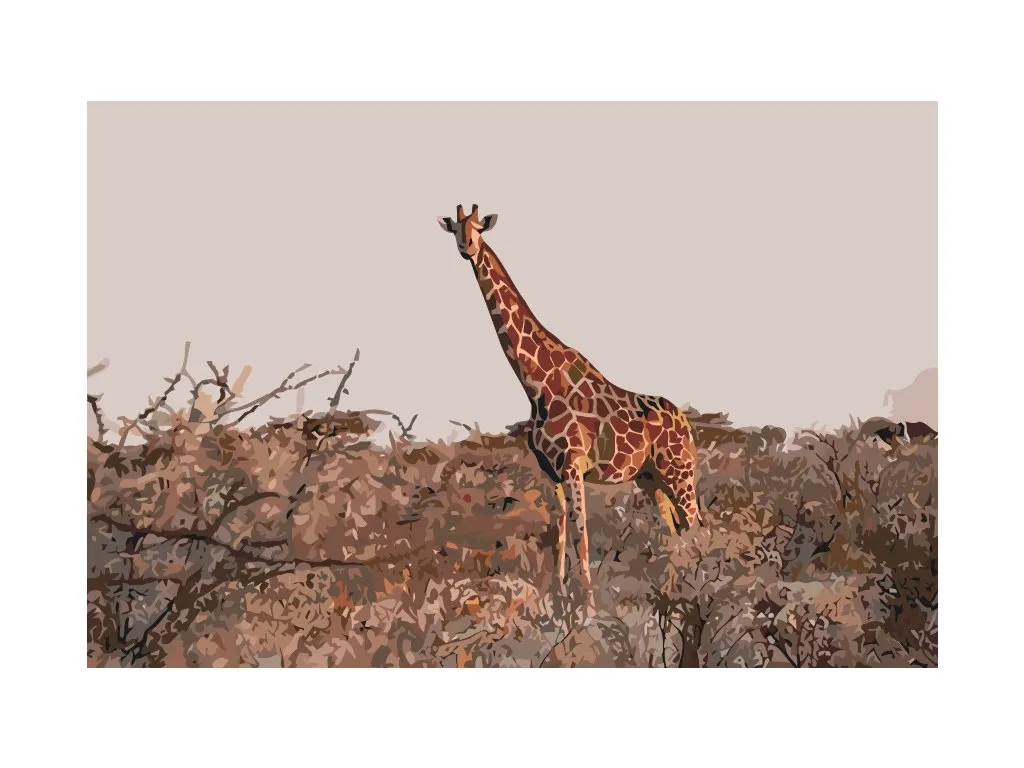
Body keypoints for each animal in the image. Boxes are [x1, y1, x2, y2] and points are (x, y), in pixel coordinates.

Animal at [438, 204, 702, 611]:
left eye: (479, 228)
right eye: (455, 228)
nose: (467, 247)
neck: (536, 384)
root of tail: (686, 424)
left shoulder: (574, 465)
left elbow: (582, 534)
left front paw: (589, 608)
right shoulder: (551, 471)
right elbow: (560, 531)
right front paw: (558, 598)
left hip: (679, 473)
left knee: (697, 527)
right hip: (650, 478)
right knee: (675, 531)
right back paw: (673, 594)